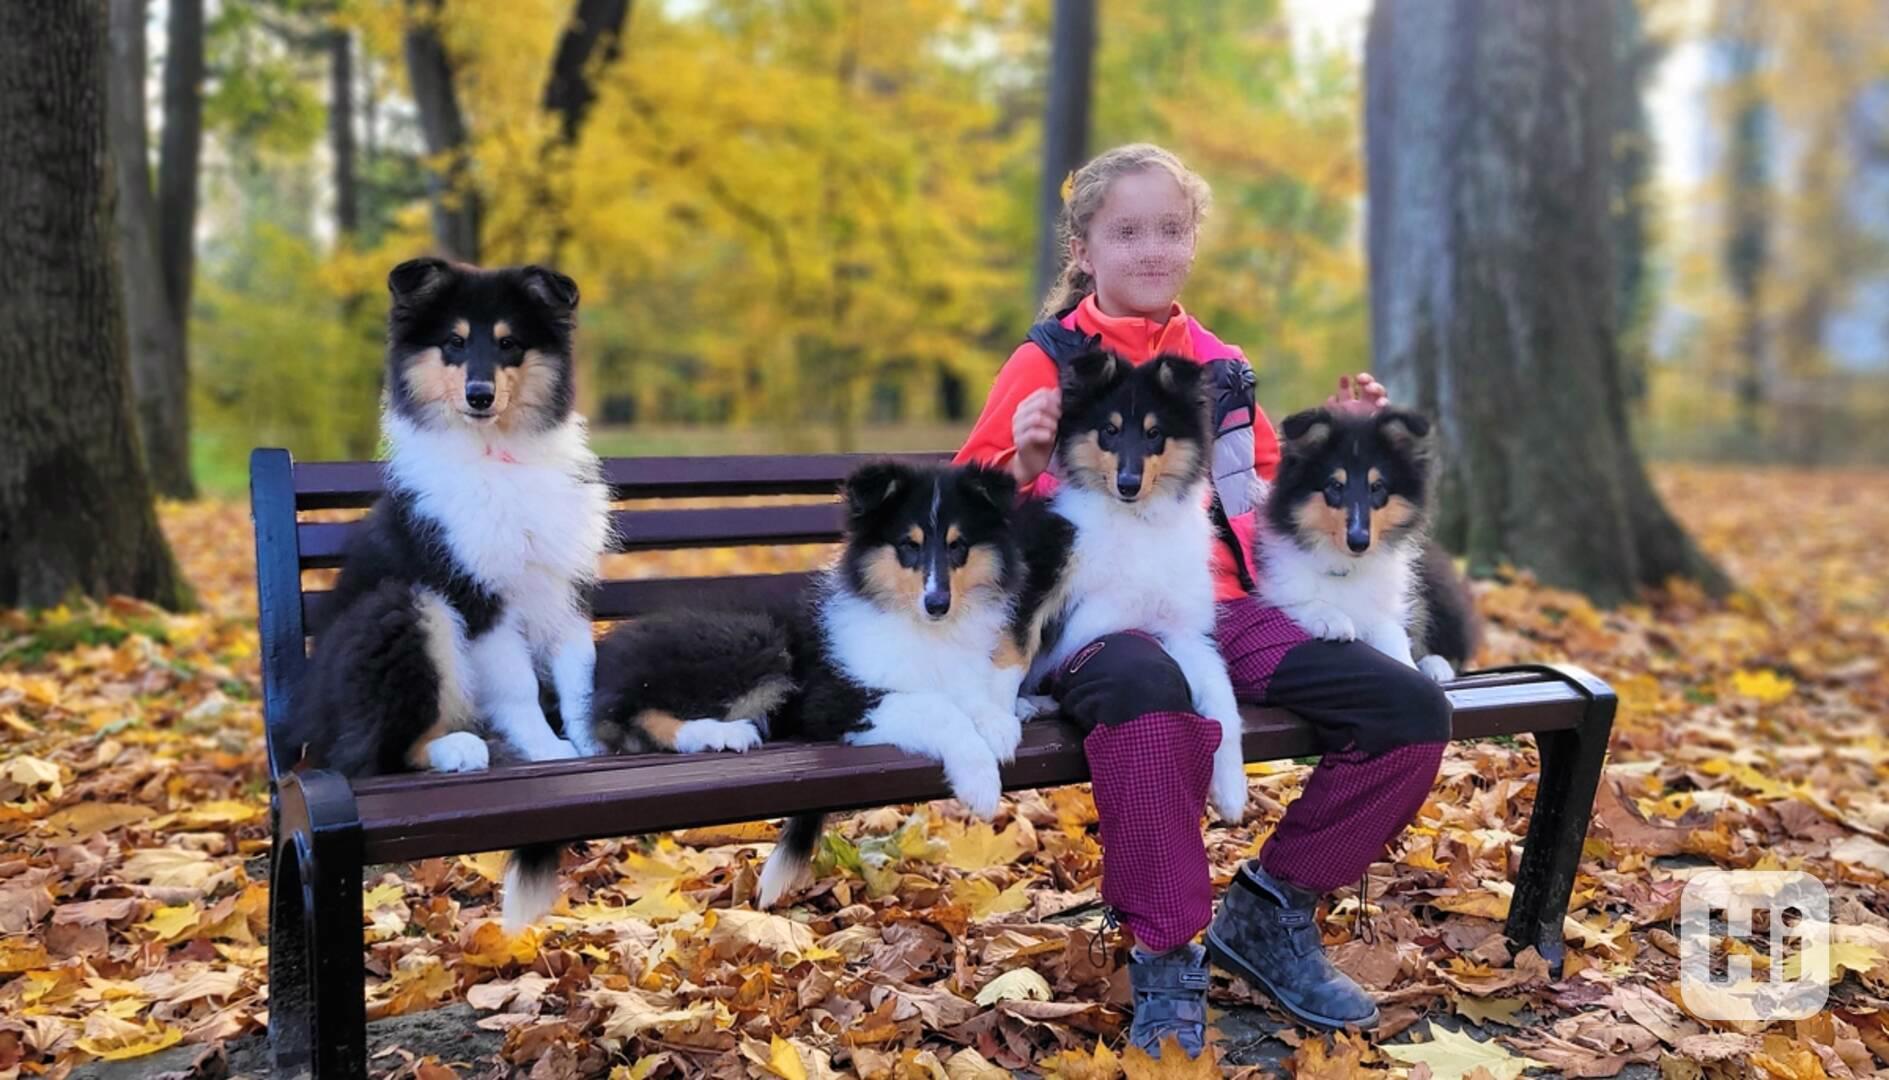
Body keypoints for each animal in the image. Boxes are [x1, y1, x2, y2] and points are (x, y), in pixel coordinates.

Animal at [283, 256, 608, 781]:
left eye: (508, 343)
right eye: (454, 342)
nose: (480, 395)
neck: (498, 454)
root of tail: (304, 734)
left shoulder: (563, 583)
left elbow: (580, 672)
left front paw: (595, 742)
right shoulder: (474, 591)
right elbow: (518, 684)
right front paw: (548, 751)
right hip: (404, 606)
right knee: (373, 754)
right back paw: (458, 749)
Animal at [755, 460, 1035, 906]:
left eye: (958, 546)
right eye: (909, 545)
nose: (937, 604)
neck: (925, 631)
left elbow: (974, 698)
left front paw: (999, 725)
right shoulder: (838, 700)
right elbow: (938, 708)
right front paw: (980, 783)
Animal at [1012, 349, 1261, 823]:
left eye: (1154, 434)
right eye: (1109, 431)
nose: (1128, 484)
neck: (1136, 521)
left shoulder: (1184, 629)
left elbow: (1223, 700)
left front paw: (1232, 790)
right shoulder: (1046, 583)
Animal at [1261, 407, 1480, 683]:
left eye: (1377, 487)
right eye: (1335, 485)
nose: (1358, 542)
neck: (1348, 566)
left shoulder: (1385, 610)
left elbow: (1395, 636)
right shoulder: (1275, 584)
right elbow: (1298, 599)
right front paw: (1332, 619)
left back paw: (1436, 665)